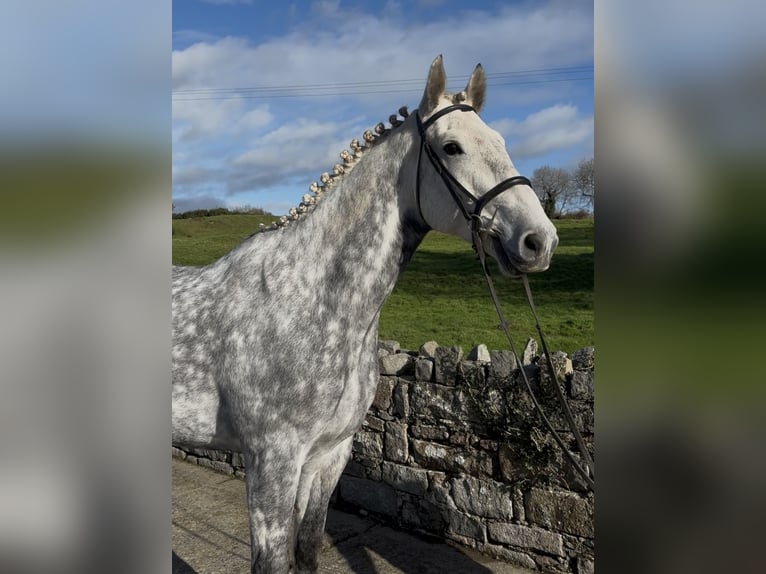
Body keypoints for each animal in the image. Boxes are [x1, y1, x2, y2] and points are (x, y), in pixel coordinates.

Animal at [172, 55, 558, 573]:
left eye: (501, 141)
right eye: (451, 147)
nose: (539, 241)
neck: (312, 301)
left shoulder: (328, 457)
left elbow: (308, 551)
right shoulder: (271, 461)